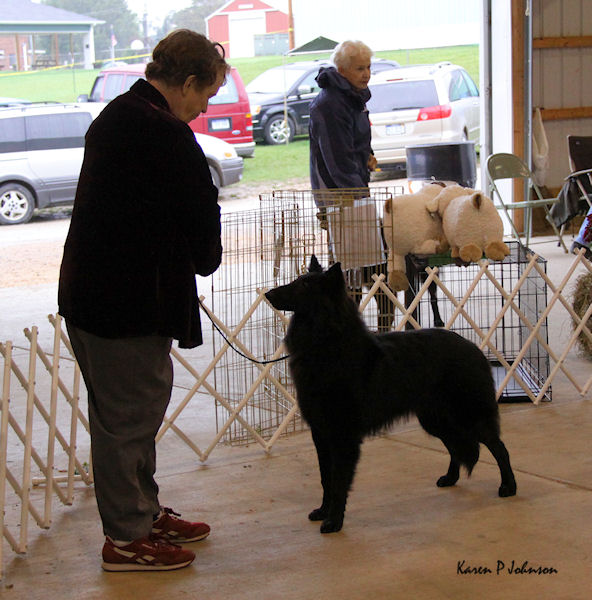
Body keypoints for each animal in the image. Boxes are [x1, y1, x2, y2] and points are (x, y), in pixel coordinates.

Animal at [266, 255, 516, 532]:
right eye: (297, 281)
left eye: (304, 286)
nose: (268, 293)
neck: (327, 342)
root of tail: (475, 349)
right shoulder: (321, 433)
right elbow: (325, 478)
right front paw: (323, 511)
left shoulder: (343, 436)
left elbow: (339, 480)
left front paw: (334, 521)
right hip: (435, 420)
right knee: (454, 446)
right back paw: (451, 477)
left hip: (467, 415)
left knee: (499, 447)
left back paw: (508, 486)